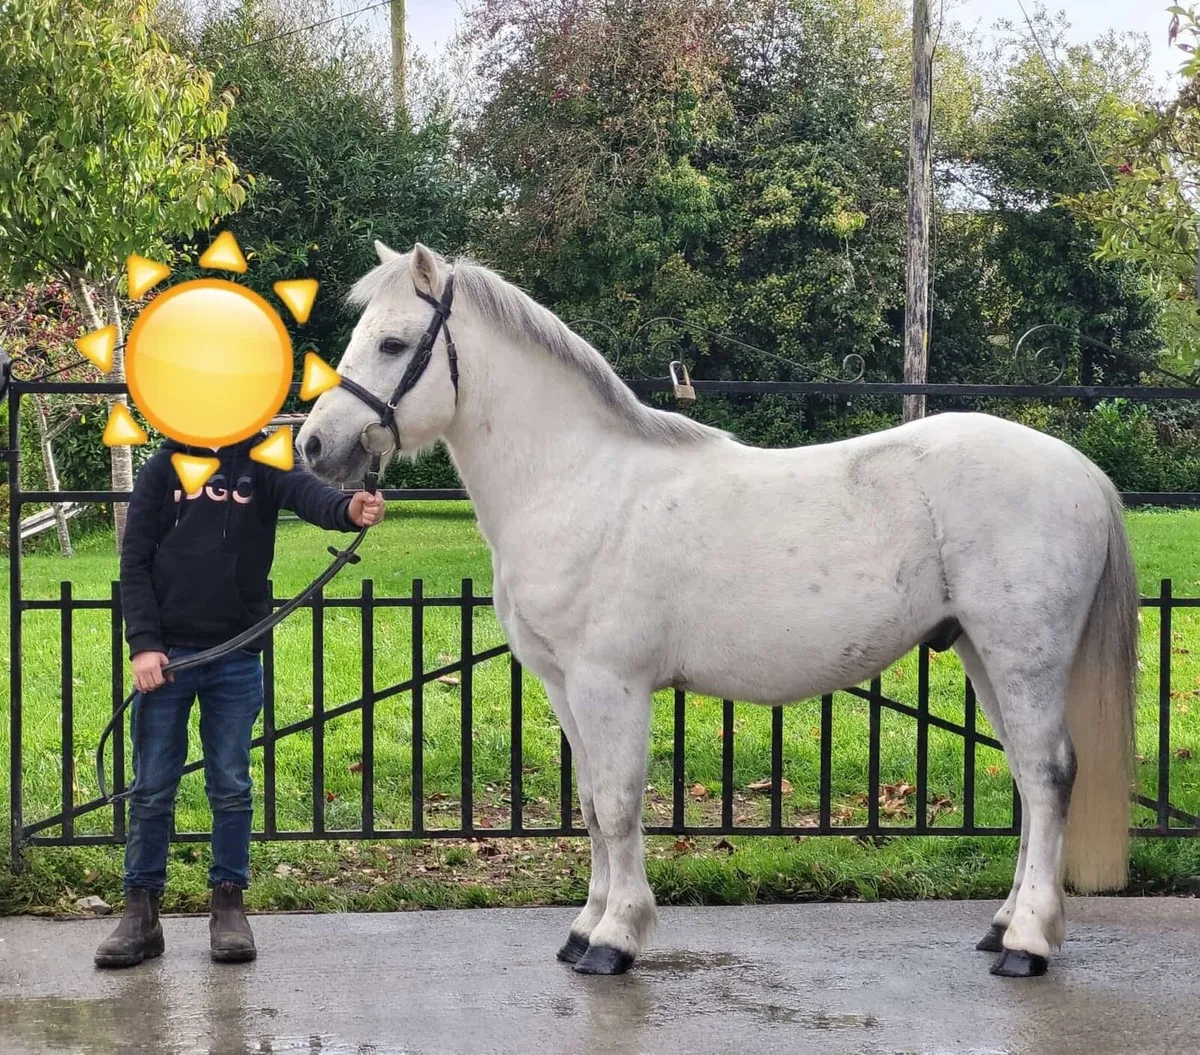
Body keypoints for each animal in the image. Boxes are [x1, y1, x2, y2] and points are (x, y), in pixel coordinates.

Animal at [298, 241, 1138, 979]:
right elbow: (592, 805)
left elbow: (619, 803)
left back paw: (1027, 944)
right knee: (1028, 778)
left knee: (1047, 774)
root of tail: (1083, 471)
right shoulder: (565, 686)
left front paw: (615, 938)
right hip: (979, 652)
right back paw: (1004, 924)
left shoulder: (611, 684)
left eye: (393, 342)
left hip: (1022, 655)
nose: (313, 446)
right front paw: (583, 927)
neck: (578, 479)